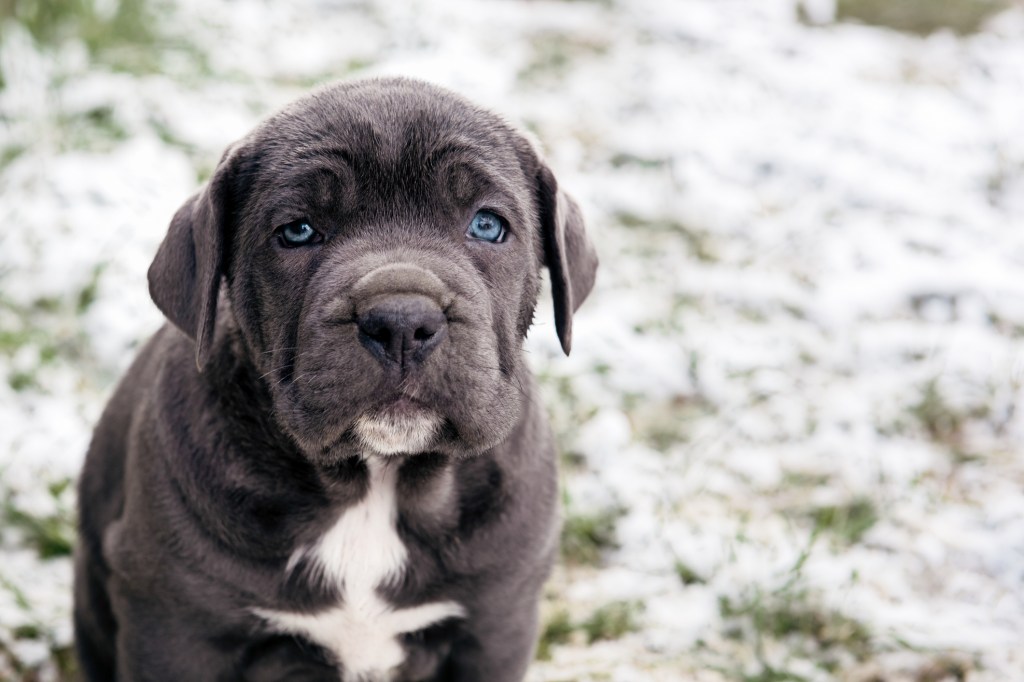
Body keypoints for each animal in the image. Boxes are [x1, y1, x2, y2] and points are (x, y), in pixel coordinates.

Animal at [72, 75, 598, 679]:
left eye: (488, 225)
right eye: (298, 231)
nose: (401, 320)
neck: (373, 481)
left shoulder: (496, 623)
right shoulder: (176, 626)